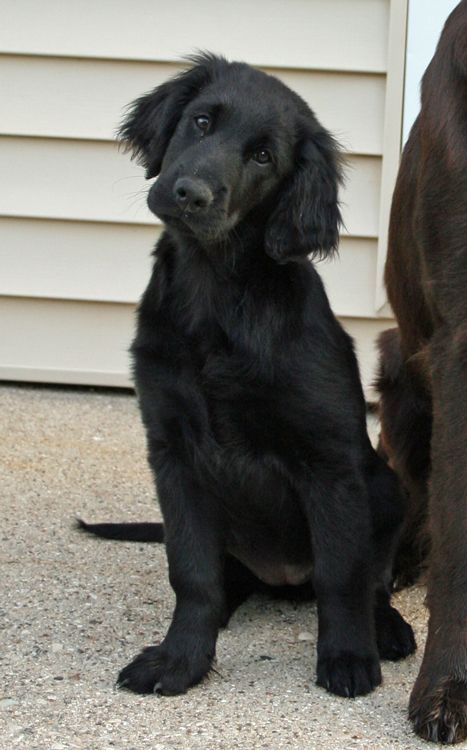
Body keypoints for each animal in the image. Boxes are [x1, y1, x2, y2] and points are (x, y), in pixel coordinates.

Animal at [82, 55, 414, 704]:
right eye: (201, 121)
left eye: (263, 157)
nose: (190, 193)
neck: (216, 297)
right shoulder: (173, 454)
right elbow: (191, 573)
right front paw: (181, 658)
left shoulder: (328, 461)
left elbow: (343, 573)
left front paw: (347, 656)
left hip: (385, 485)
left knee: (373, 579)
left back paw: (384, 627)